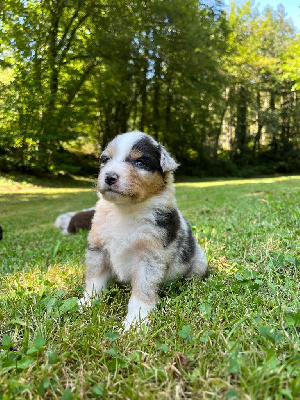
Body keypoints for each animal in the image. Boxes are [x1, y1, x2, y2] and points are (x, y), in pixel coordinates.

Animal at [78, 131, 207, 328]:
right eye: (105, 160)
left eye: (140, 162)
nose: (109, 177)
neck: (125, 210)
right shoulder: (98, 249)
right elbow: (95, 280)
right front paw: (87, 302)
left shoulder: (149, 258)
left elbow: (142, 292)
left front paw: (134, 323)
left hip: (199, 261)